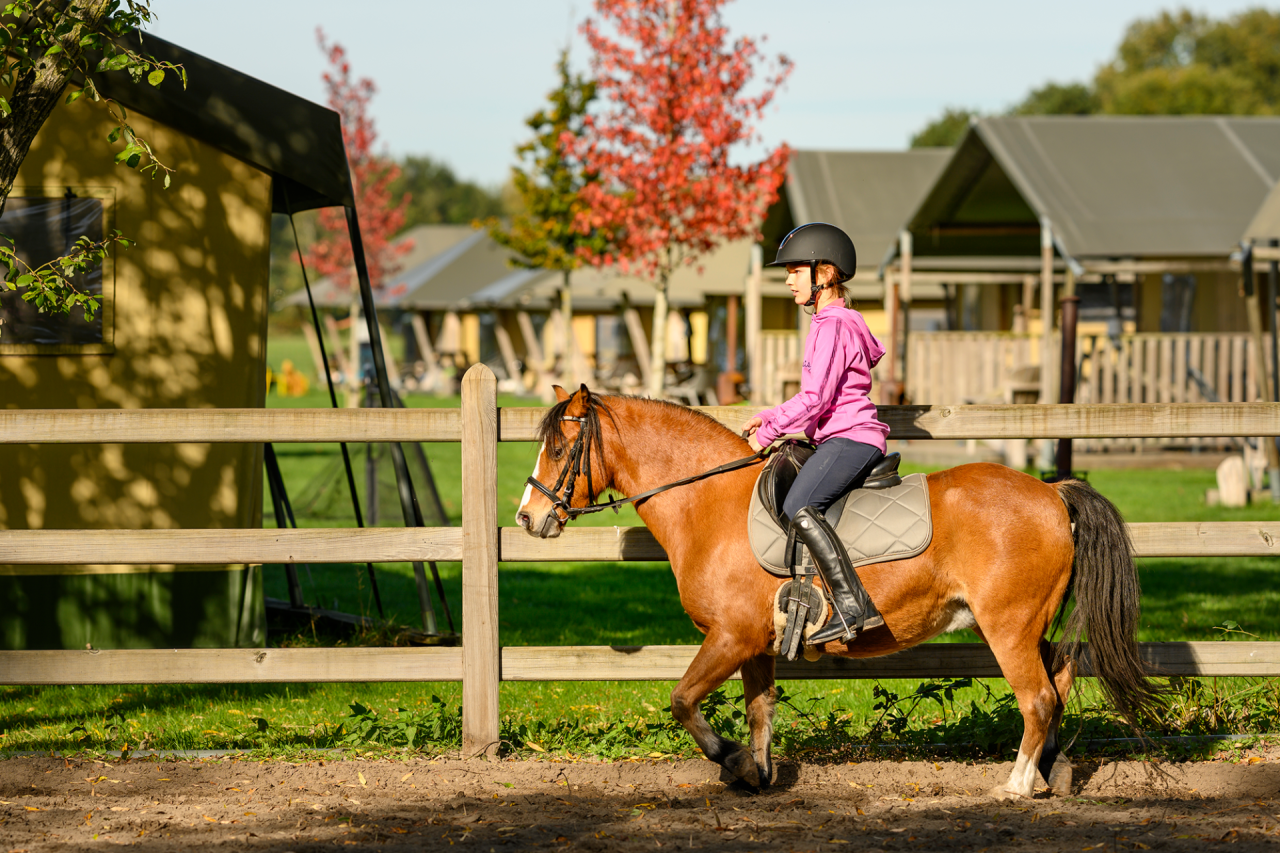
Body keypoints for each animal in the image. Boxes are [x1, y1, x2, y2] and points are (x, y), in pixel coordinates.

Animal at [512, 384, 1162, 799]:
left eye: (561, 449)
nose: (526, 518)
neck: (710, 503)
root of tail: (1052, 492)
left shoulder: (729, 637)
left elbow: (682, 701)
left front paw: (730, 760)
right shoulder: (756, 644)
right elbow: (760, 710)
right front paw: (757, 774)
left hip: (1007, 626)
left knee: (1038, 698)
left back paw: (1018, 786)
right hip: (1030, 625)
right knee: (1060, 678)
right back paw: (1053, 770)